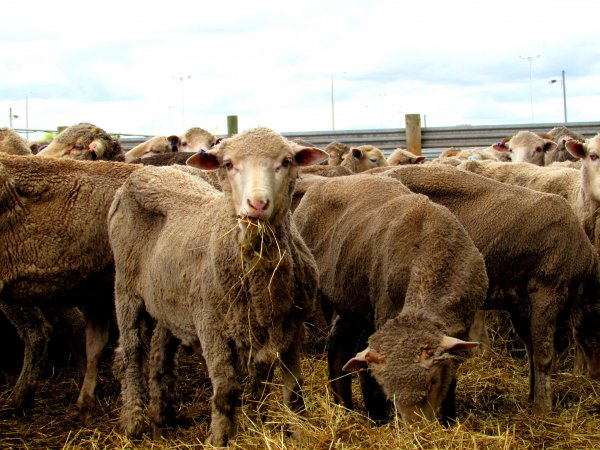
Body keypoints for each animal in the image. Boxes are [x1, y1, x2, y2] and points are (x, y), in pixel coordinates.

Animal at [108, 126, 328, 446]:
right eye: (228, 164)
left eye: (286, 161)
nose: (257, 205)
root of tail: (147, 172)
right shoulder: (211, 326)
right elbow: (225, 390)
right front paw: (219, 439)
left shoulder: (290, 327)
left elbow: (294, 390)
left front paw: (296, 432)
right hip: (125, 287)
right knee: (131, 352)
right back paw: (133, 423)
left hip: (168, 298)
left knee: (161, 353)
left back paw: (162, 420)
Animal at [292, 173, 490, 426]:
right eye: (388, 387)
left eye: (433, 380)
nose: (417, 429)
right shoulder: (384, 314)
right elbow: (368, 374)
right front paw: (378, 416)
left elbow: (452, 376)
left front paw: (449, 420)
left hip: (351, 303)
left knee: (339, 347)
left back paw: (343, 405)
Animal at [370, 163, 600, 414]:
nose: (596, 376)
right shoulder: (547, 289)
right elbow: (543, 355)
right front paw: (543, 409)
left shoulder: (520, 303)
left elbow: (530, 348)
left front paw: (531, 399)